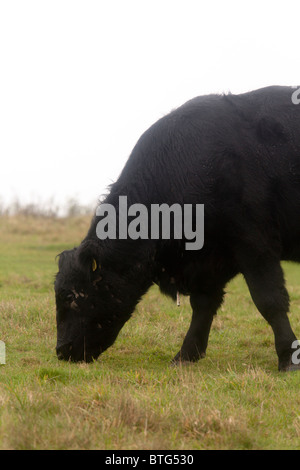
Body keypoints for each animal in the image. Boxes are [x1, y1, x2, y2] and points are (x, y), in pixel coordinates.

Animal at [55, 84, 300, 370]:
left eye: (71, 297)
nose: (61, 350)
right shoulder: (209, 261)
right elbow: (203, 305)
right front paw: (186, 355)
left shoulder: (255, 245)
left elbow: (270, 300)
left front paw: (288, 357)